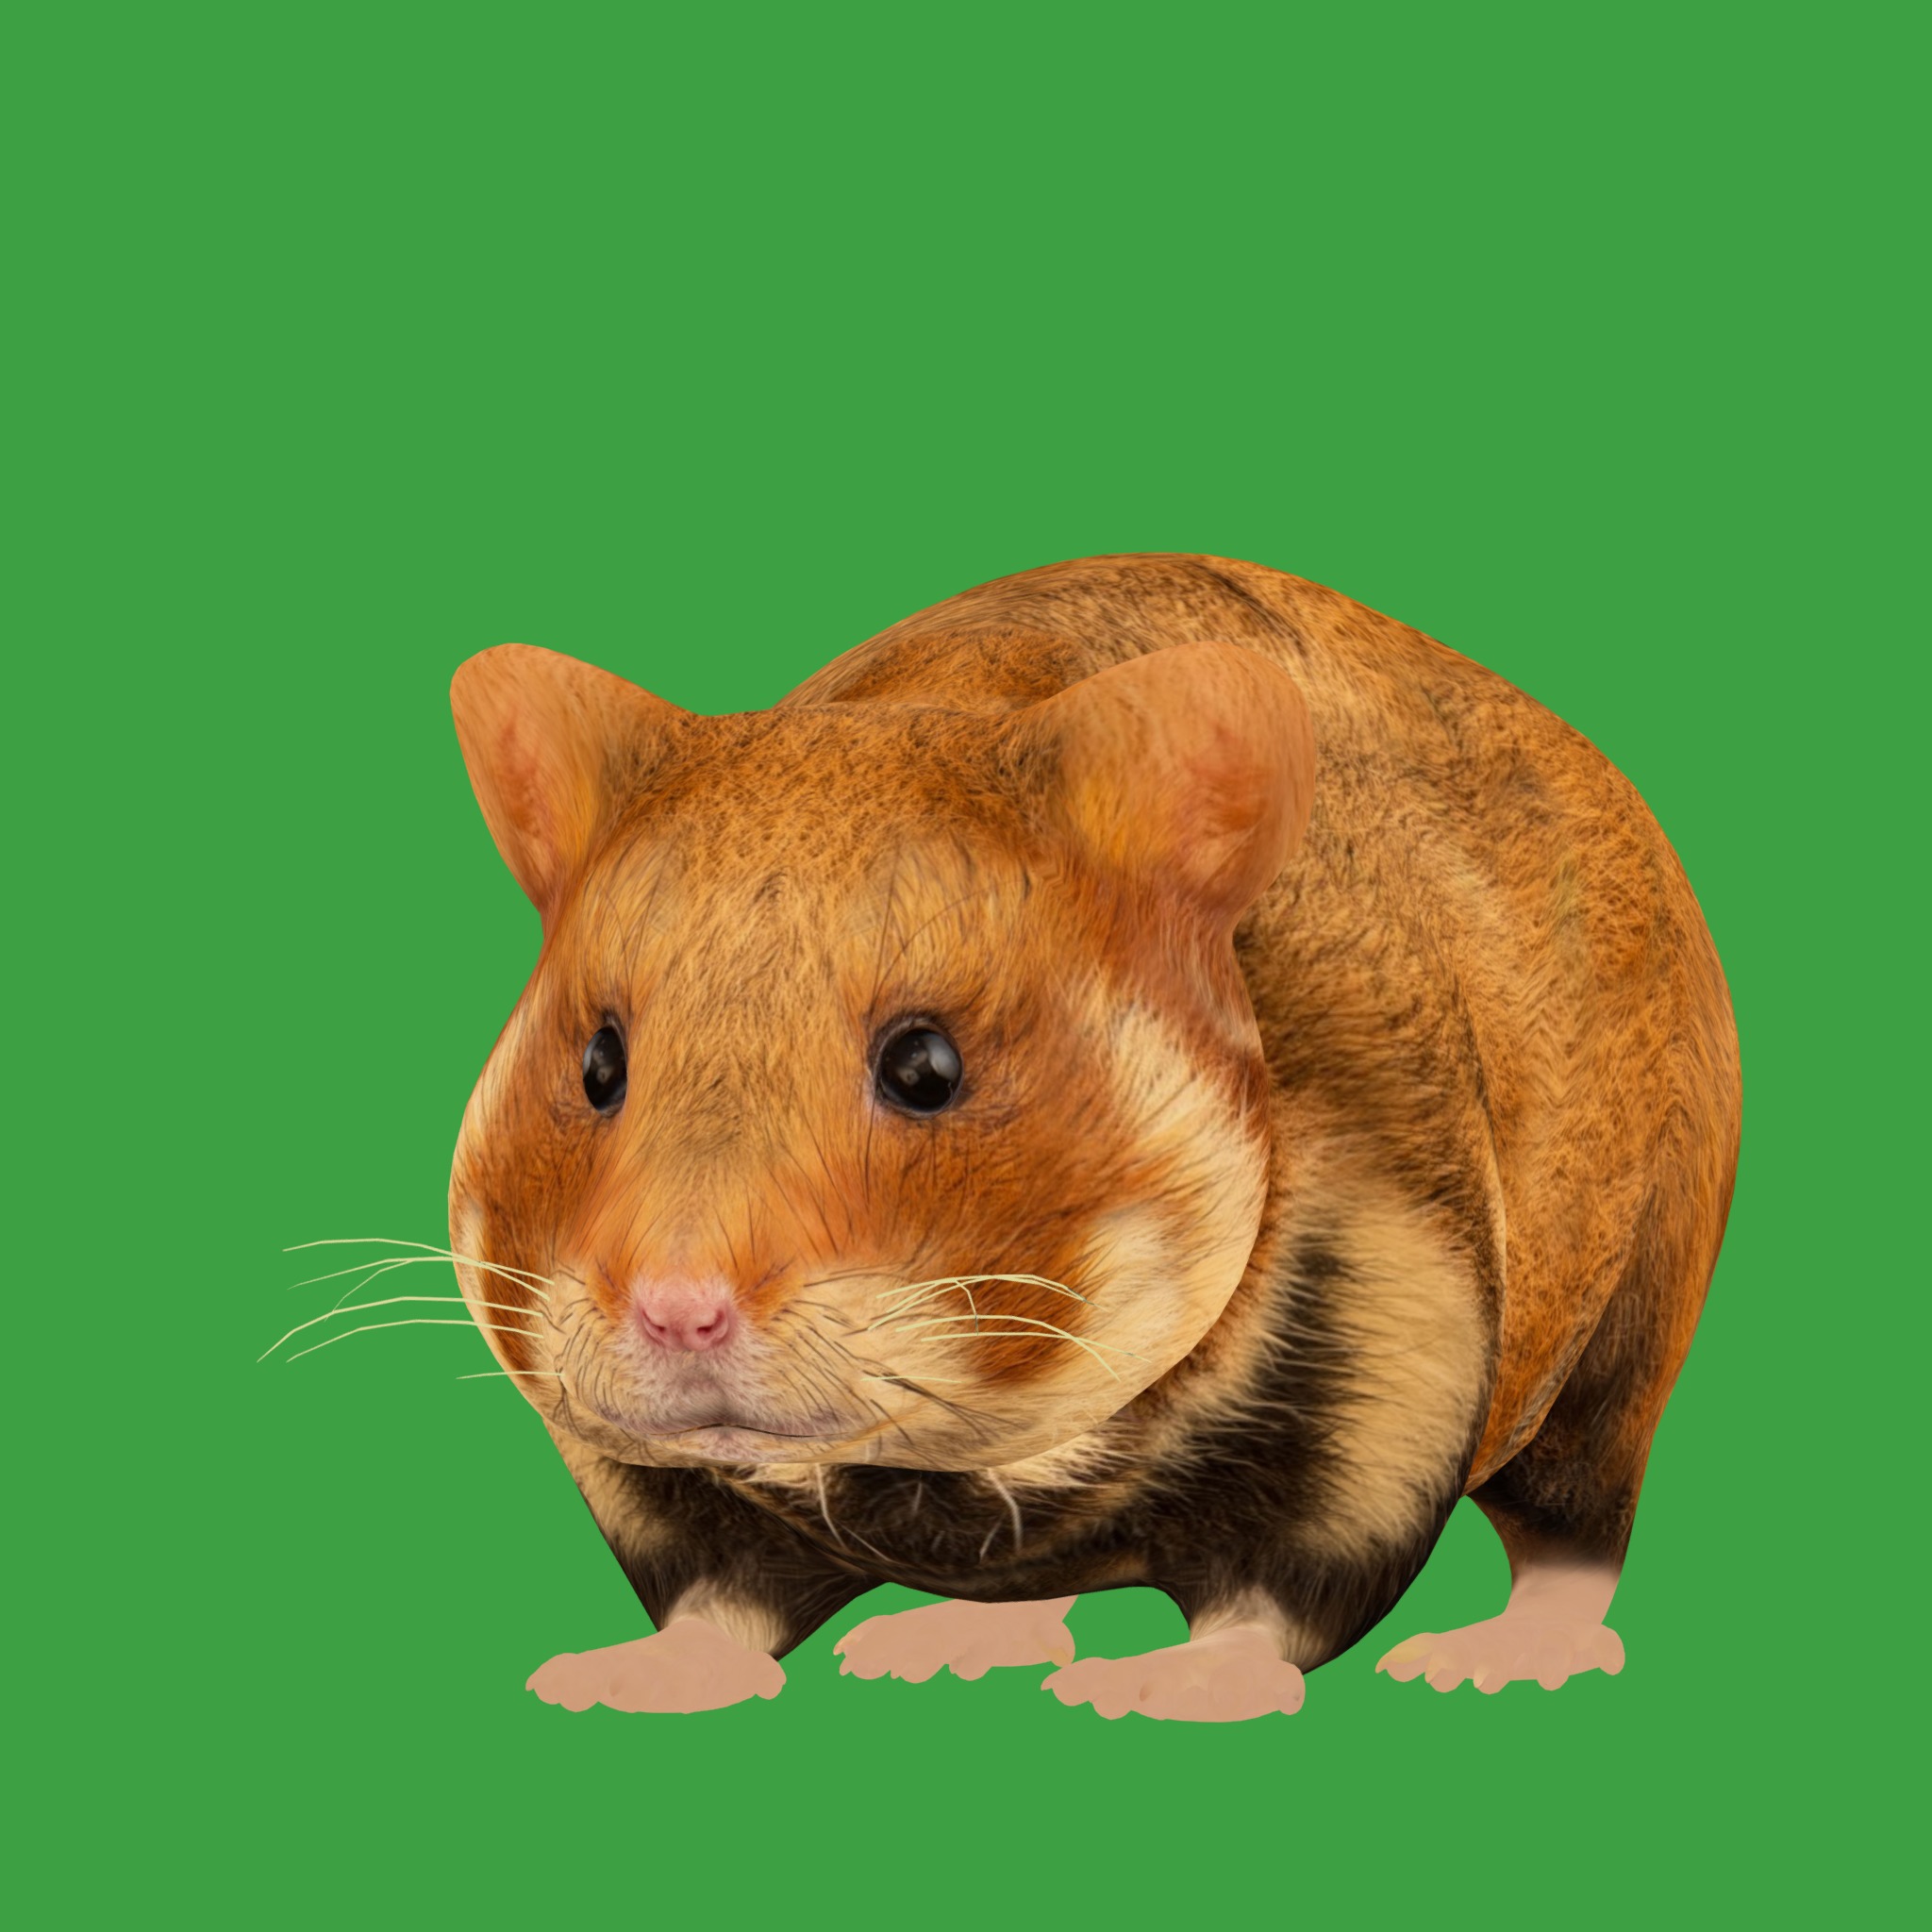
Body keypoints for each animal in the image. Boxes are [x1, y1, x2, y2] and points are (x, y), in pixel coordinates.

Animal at [444, 552, 1740, 1721]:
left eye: (925, 1067)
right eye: (596, 1064)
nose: (675, 1312)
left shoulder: (1393, 1334)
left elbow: (1277, 1593)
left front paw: (1159, 1686)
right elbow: (713, 1597)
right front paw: (612, 1679)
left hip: (1626, 1321)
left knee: (1580, 1520)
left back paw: (1493, 1657)